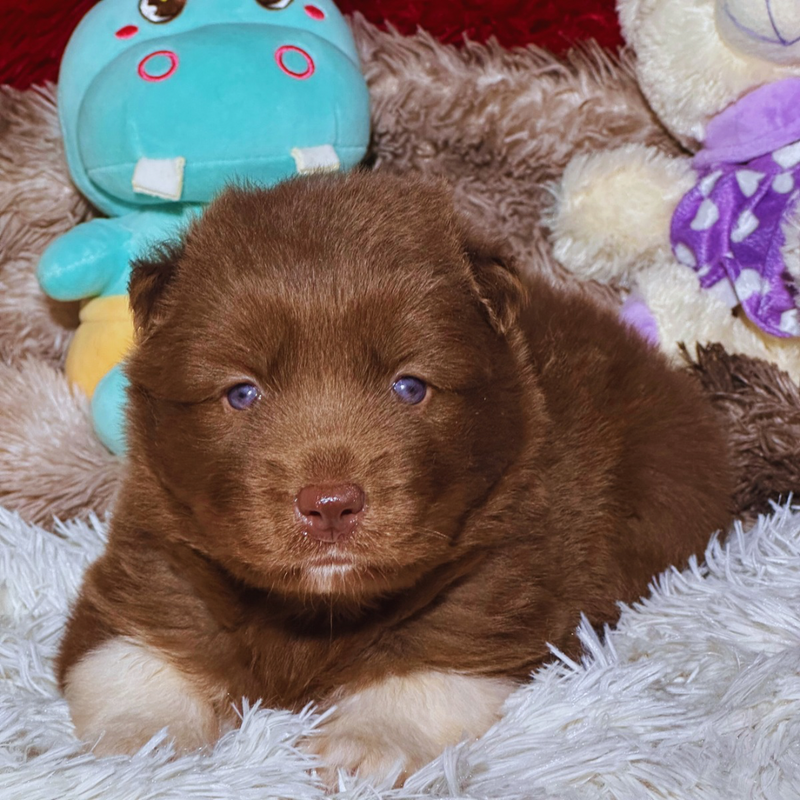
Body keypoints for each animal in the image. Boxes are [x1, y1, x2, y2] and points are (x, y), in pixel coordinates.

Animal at [54, 173, 732, 780]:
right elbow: (130, 655)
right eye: (241, 393)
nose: (329, 503)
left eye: (409, 386)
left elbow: (428, 663)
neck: (315, 608)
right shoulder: (152, 557)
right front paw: (142, 740)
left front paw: (364, 743)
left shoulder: (506, 570)